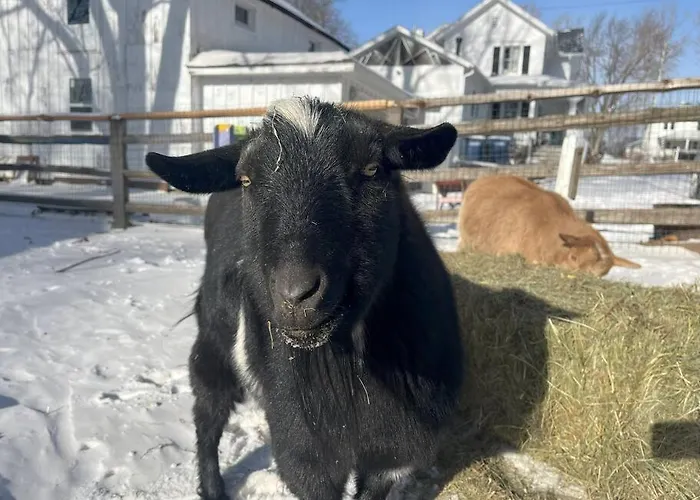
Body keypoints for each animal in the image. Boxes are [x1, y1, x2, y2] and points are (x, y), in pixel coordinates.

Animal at [145, 97, 465, 500]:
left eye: (371, 169)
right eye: (246, 180)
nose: (296, 294)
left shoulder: (396, 455)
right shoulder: (305, 454)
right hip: (213, 343)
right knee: (208, 415)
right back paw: (213, 488)